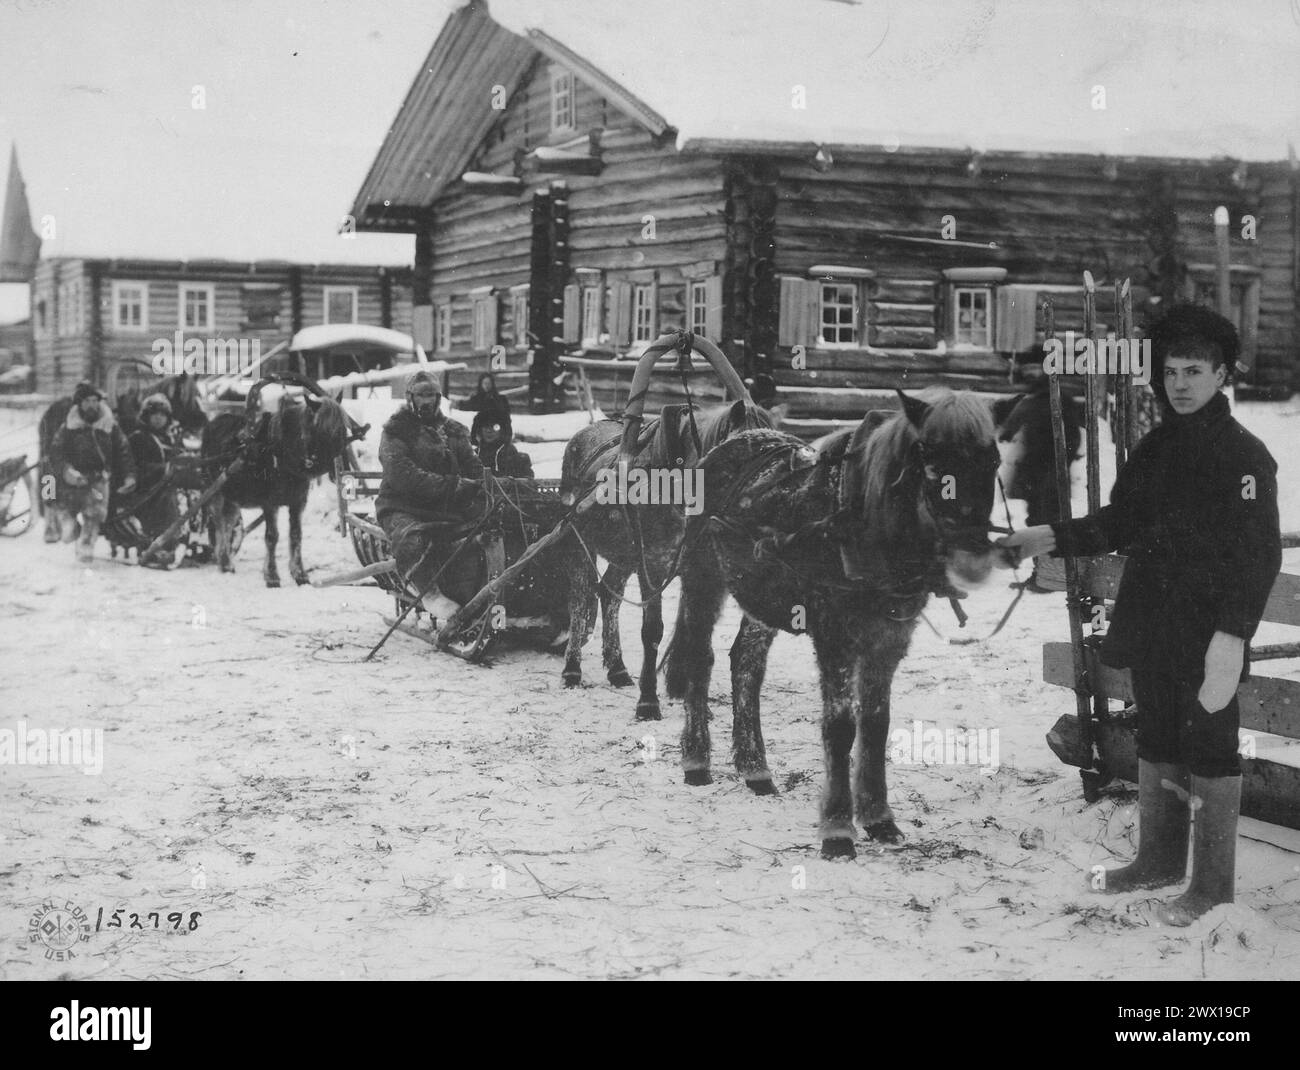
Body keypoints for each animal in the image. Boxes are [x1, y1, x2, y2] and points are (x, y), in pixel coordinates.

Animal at [200, 390, 351, 585]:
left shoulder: (298, 502)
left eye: (344, 430)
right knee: (219, 524)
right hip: (216, 492)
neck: (281, 453)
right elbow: (272, 536)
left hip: (232, 497)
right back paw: (225, 562)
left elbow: (296, 535)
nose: (341, 470)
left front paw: (299, 574)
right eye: (323, 431)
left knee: (228, 523)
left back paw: (225, 562)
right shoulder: (270, 503)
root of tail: (213, 422)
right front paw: (271, 576)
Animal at [556, 335, 769, 717]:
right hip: (580, 541)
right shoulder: (653, 565)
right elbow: (652, 630)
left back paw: (617, 668)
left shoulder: (696, 567)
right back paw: (572, 669)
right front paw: (648, 702)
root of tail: (584, 433)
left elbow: (691, 632)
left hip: (625, 554)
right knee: (581, 600)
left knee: (609, 594)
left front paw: (689, 698)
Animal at [665, 390, 1008, 858]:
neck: (864, 528)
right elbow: (841, 726)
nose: (973, 558)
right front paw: (838, 829)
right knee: (700, 659)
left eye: (993, 459)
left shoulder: (889, 639)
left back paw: (755, 768)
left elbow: (876, 724)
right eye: (930, 458)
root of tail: (733, 440)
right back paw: (697, 760)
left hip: (762, 598)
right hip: (703, 578)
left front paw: (879, 817)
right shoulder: (835, 638)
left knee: (746, 664)